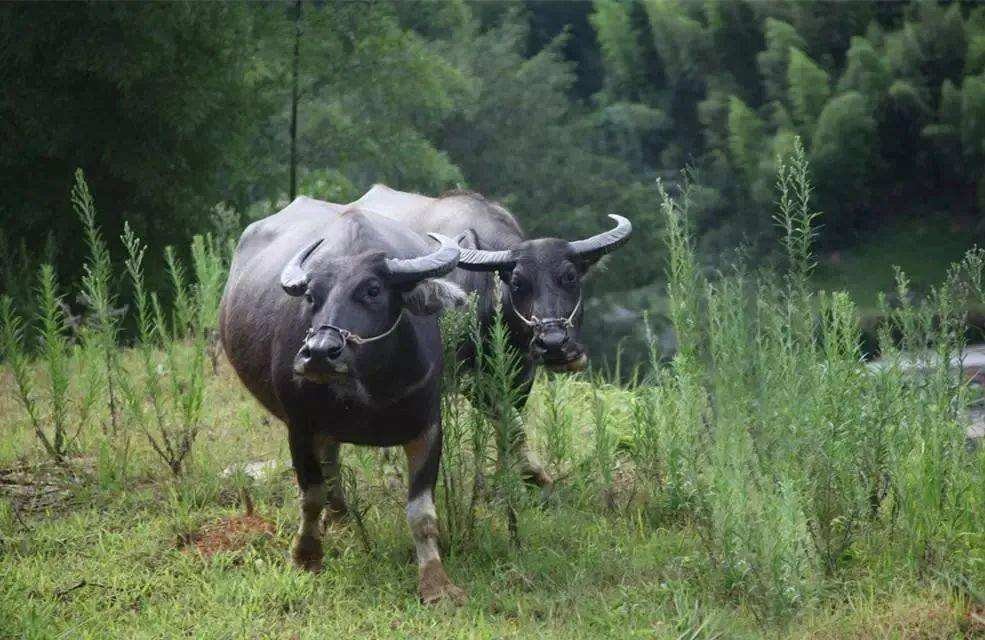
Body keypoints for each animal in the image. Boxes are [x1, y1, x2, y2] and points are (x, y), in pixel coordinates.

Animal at [218, 196, 468, 604]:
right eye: (311, 296)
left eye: (372, 290)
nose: (320, 352)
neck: (369, 389)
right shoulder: (300, 426)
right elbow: (311, 495)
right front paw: (306, 556)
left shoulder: (429, 427)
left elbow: (421, 512)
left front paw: (436, 581)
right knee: (330, 469)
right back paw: (336, 518)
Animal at [352, 185, 632, 490]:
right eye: (518, 282)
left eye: (570, 277)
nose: (554, 344)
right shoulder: (469, 377)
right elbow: (511, 422)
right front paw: (533, 473)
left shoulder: (522, 372)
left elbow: (509, 425)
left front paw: (504, 478)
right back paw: (391, 476)